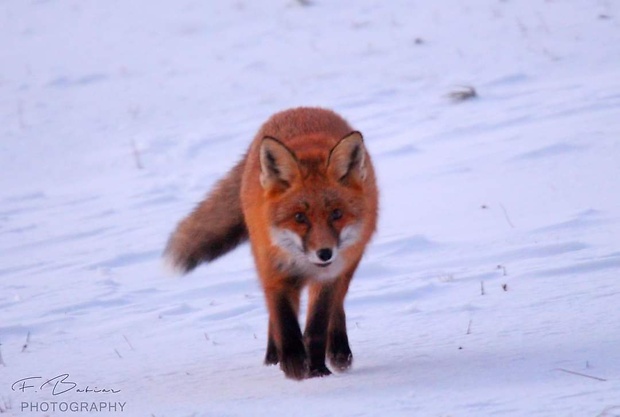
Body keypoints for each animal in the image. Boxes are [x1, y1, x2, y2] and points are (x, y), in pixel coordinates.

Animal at [165, 108, 378, 380]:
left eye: (337, 214)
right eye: (299, 217)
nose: (324, 253)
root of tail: (301, 108)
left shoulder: (330, 275)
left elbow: (317, 326)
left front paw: (317, 370)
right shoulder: (273, 268)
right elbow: (283, 320)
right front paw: (294, 366)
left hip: (348, 265)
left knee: (337, 307)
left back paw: (339, 352)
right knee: (274, 315)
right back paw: (273, 357)